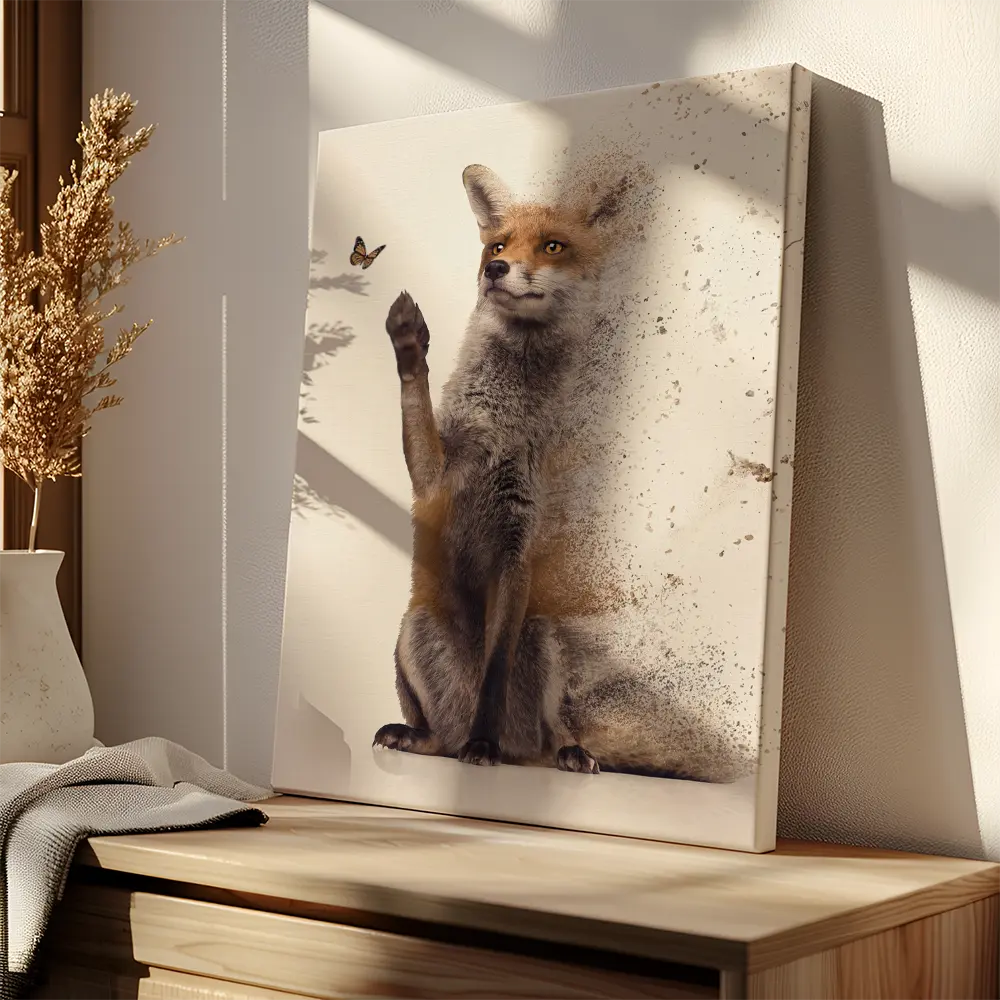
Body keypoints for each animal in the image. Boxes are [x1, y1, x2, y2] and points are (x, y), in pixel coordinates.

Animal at [372, 162, 753, 782]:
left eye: (552, 246)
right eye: (497, 246)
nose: (496, 270)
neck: (503, 429)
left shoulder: (517, 550)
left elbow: (495, 676)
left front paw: (484, 743)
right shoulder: (434, 479)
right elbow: (416, 406)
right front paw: (409, 342)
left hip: (542, 639)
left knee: (550, 733)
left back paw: (557, 752)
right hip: (415, 629)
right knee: (441, 739)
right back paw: (426, 737)